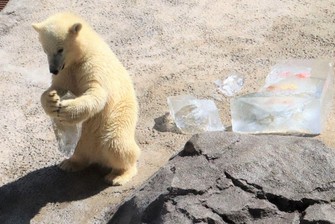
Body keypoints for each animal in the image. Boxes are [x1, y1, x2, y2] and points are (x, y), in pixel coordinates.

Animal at [31, 12, 140, 186]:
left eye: (60, 49)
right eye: (45, 50)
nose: (53, 69)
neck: (84, 52)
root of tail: (98, 157)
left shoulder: (93, 65)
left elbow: (96, 92)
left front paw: (66, 109)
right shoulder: (67, 70)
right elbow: (58, 86)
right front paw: (51, 100)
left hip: (116, 120)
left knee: (117, 144)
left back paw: (118, 176)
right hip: (85, 140)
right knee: (80, 151)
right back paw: (68, 164)